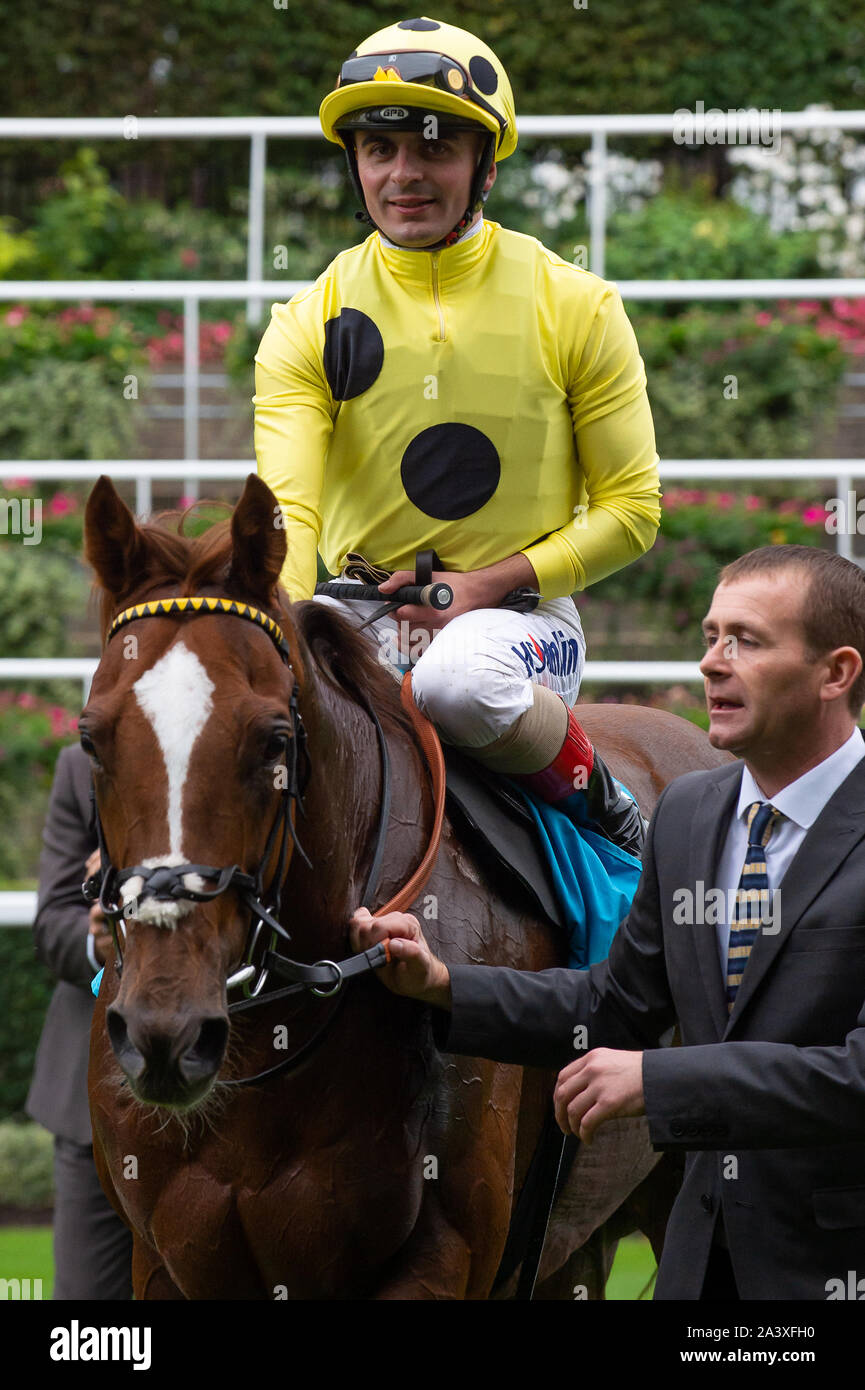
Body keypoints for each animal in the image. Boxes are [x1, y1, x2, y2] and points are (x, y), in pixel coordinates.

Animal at [83, 472, 734, 1295]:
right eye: (91, 738)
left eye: (274, 740)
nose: (164, 1029)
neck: (268, 1048)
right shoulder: (167, 1263)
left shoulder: (442, 1252)